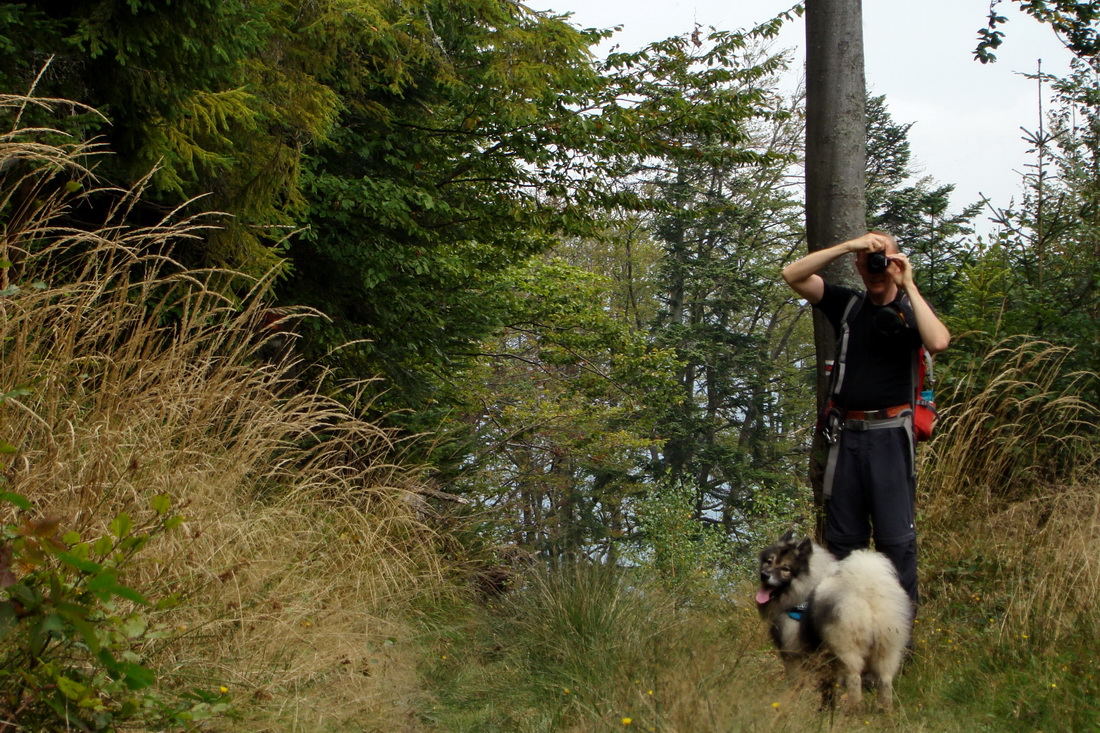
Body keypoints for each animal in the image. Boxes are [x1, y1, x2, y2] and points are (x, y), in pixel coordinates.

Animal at [756, 530, 910, 708]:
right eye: (769, 561)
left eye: (785, 569)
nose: (764, 575)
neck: (804, 588)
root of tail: (867, 592)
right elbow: (827, 686)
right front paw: (826, 706)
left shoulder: (794, 652)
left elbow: (797, 682)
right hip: (886, 649)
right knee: (885, 679)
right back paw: (884, 708)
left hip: (847, 648)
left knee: (854, 678)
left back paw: (853, 707)